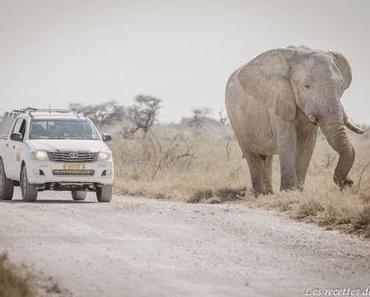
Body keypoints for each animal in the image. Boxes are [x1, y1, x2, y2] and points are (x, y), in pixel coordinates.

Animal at [224, 45, 362, 194]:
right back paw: (259, 193)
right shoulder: (278, 99)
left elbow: (307, 143)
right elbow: (288, 139)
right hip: (236, 121)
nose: (349, 182)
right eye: (307, 86)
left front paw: (299, 190)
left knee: (266, 157)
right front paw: (289, 191)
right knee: (251, 154)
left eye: (341, 87)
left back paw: (268, 192)